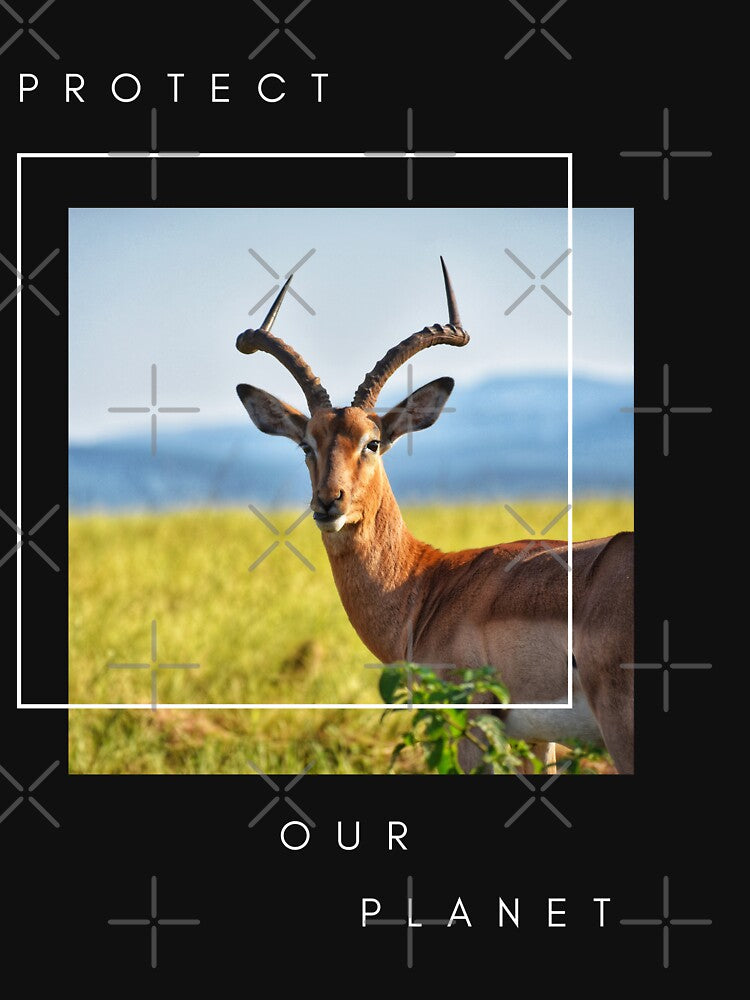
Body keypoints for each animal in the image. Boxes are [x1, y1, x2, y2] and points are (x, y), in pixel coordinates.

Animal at [235, 259, 634, 774]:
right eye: (307, 444)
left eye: (372, 442)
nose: (328, 502)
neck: (427, 585)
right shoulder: (537, 739)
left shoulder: (469, 723)